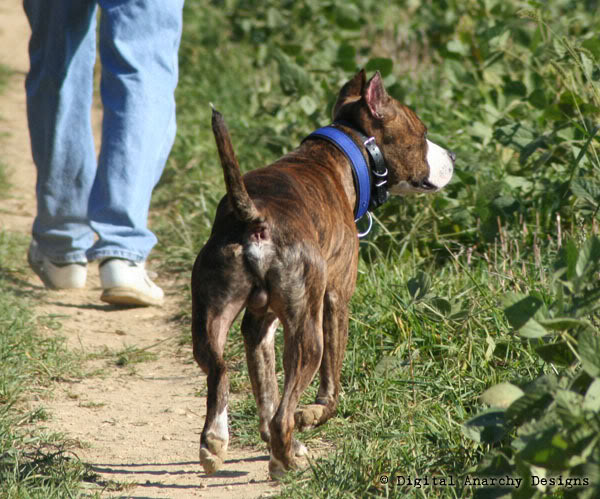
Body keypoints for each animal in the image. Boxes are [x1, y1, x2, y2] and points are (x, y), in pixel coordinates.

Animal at [190, 68, 452, 478]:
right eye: (422, 132)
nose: (452, 156)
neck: (344, 153)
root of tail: (254, 220)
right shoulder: (336, 298)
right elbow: (329, 387)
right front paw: (310, 417)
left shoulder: (260, 323)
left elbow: (266, 391)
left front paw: (278, 438)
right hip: (307, 333)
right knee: (288, 403)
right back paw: (286, 462)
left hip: (209, 316)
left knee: (220, 373)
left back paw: (216, 444)